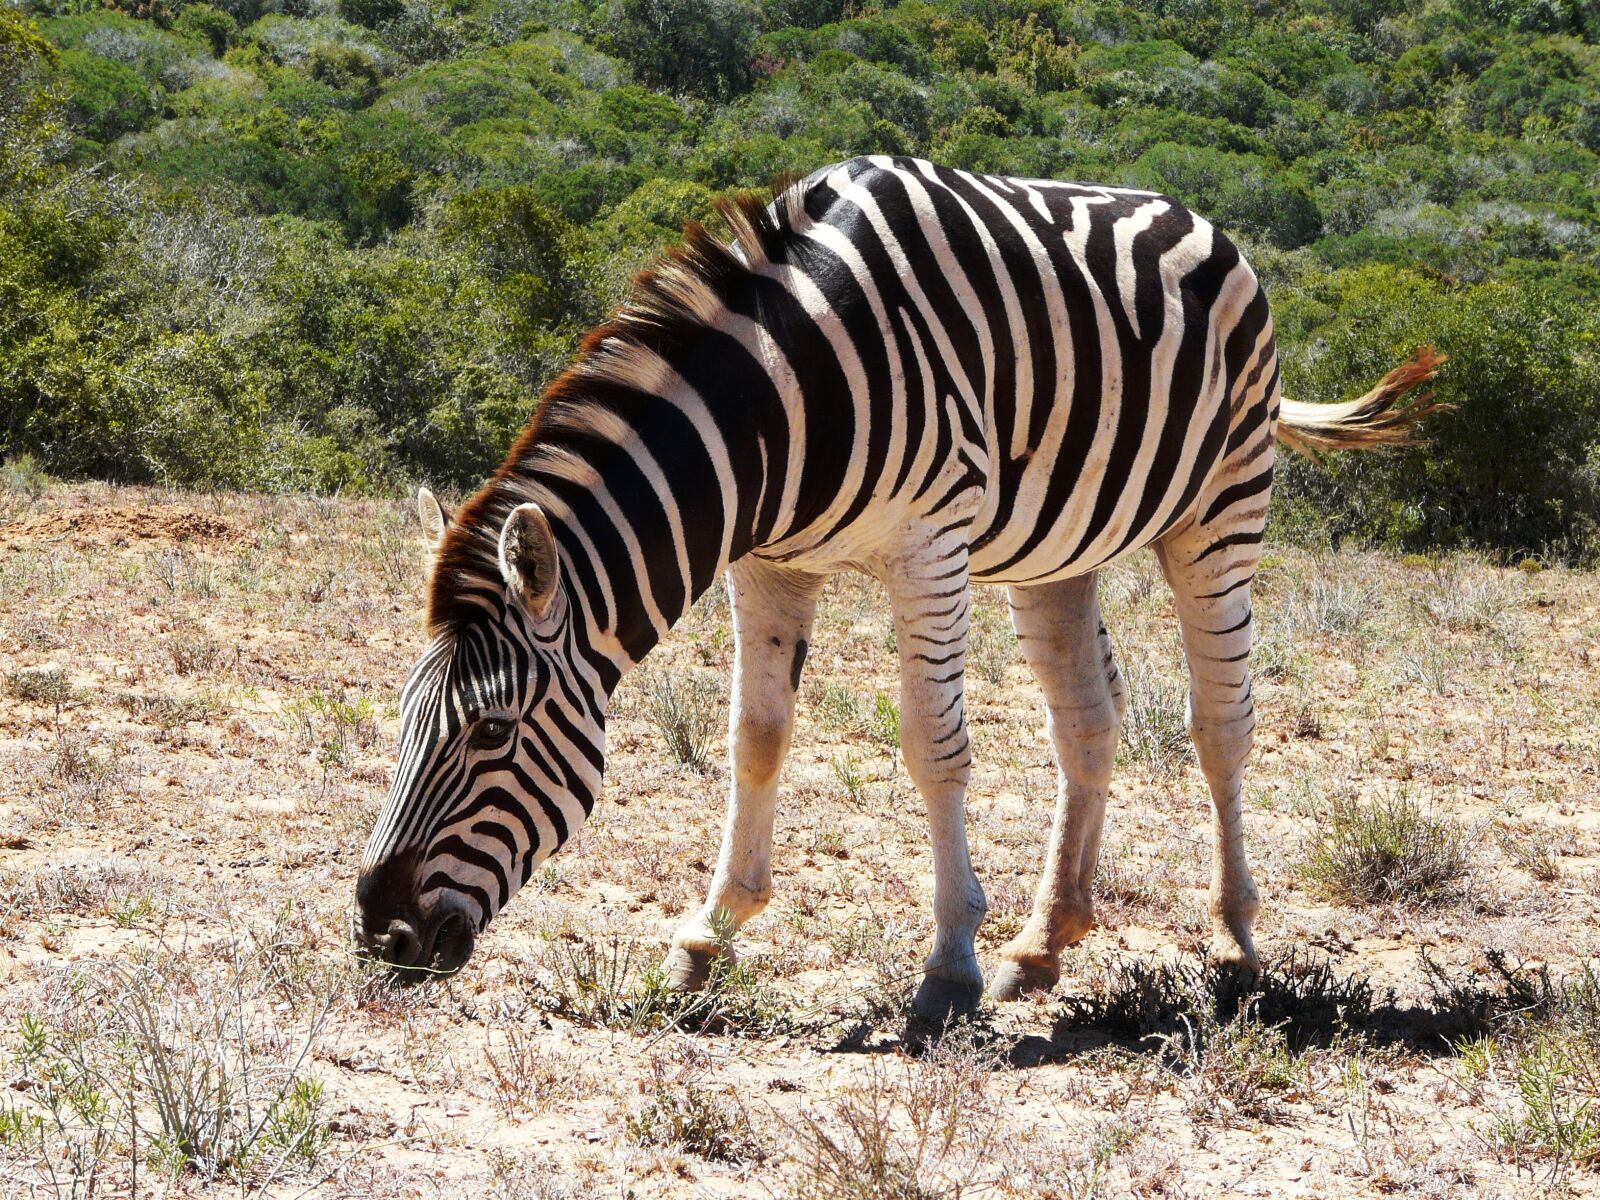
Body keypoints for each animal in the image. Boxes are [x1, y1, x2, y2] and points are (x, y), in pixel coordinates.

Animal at [353, 155, 1440, 1017]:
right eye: (403, 720)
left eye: (491, 732)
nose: (380, 931)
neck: (778, 407)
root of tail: (1197, 219)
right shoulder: (767, 562)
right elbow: (756, 739)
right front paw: (708, 937)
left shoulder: (930, 547)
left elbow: (933, 745)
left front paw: (950, 964)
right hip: (1059, 553)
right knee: (1088, 722)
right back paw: (1044, 945)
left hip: (1218, 513)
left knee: (1222, 724)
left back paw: (1234, 943)